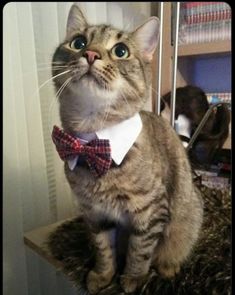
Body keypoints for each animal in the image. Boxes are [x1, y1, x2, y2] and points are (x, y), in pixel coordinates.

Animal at [51, 5, 204, 295]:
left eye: (121, 51)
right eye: (78, 43)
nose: (90, 54)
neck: (93, 144)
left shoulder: (150, 212)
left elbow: (139, 250)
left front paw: (132, 278)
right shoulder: (95, 214)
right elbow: (103, 249)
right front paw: (103, 275)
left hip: (188, 217)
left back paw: (167, 267)